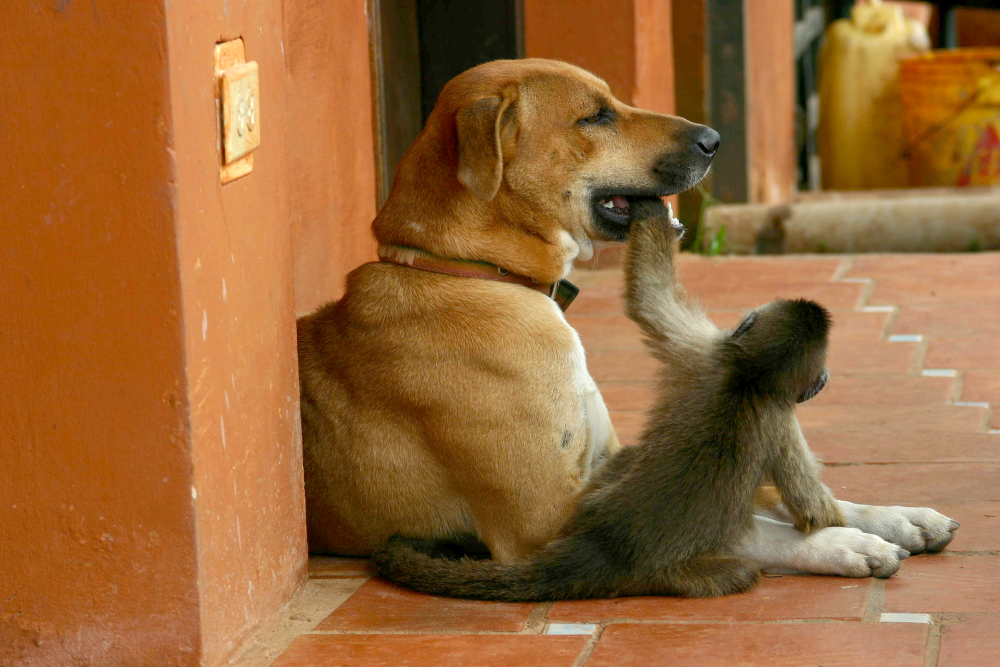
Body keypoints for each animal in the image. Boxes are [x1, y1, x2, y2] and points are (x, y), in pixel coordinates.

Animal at [373, 199, 903, 600]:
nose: (825, 378)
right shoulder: (772, 408)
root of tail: (608, 545)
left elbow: (651, 297)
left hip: (593, 501)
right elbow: (813, 512)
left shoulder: (707, 352)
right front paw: (831, 528)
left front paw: (652, 213)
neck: (747, 378)